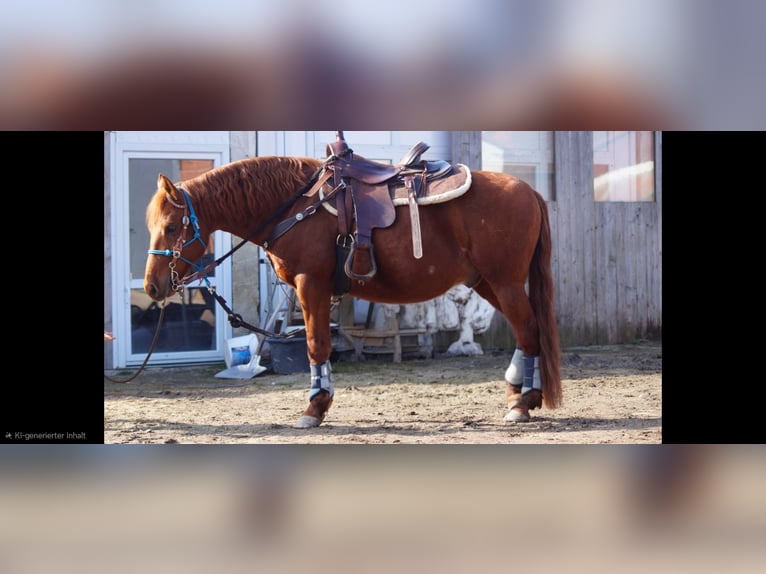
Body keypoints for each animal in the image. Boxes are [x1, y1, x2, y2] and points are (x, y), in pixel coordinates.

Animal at [143, 140, 562, 429]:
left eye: (171, 227)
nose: (152, 286)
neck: (297, 206)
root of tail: (529, 191)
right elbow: (321, 345)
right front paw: (319, 403)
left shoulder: (310, 283)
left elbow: (316, 344)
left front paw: (314, 408)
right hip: (486, 281)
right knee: (527, 331)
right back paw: (517, 393)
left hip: (505, 282)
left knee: (529, 329)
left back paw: (524, 402)